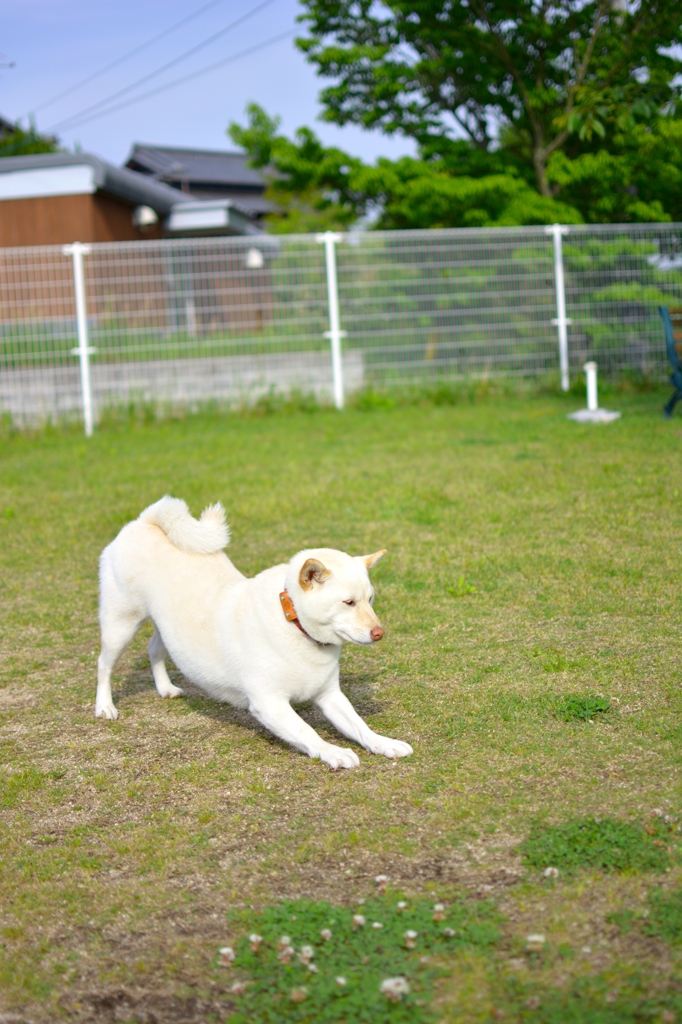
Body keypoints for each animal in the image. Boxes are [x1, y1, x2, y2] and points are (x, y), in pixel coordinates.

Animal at [95, 495, 411, 770]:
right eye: (348, 602)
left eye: (370, 599)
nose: (379, 633)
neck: (294, 625)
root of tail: (146, 521)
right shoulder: (269, 704)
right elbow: (307, 731)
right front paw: (333, 752)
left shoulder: (331, 696)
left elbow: (360, 726)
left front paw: (385, 743)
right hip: (121, 624)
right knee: (104, 664)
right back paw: (105, 707)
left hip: (167, 629)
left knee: (153, 649)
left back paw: (165, 688)